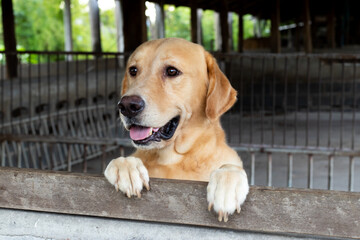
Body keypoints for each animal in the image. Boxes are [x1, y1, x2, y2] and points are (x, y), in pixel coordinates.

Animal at [105, 38, 248, 223]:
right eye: (133, 70)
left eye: (172, 71)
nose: (127, 106)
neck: (174, 158)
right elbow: (120, 160)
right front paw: (126, 167)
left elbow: (230, 167)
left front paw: (227, 184)